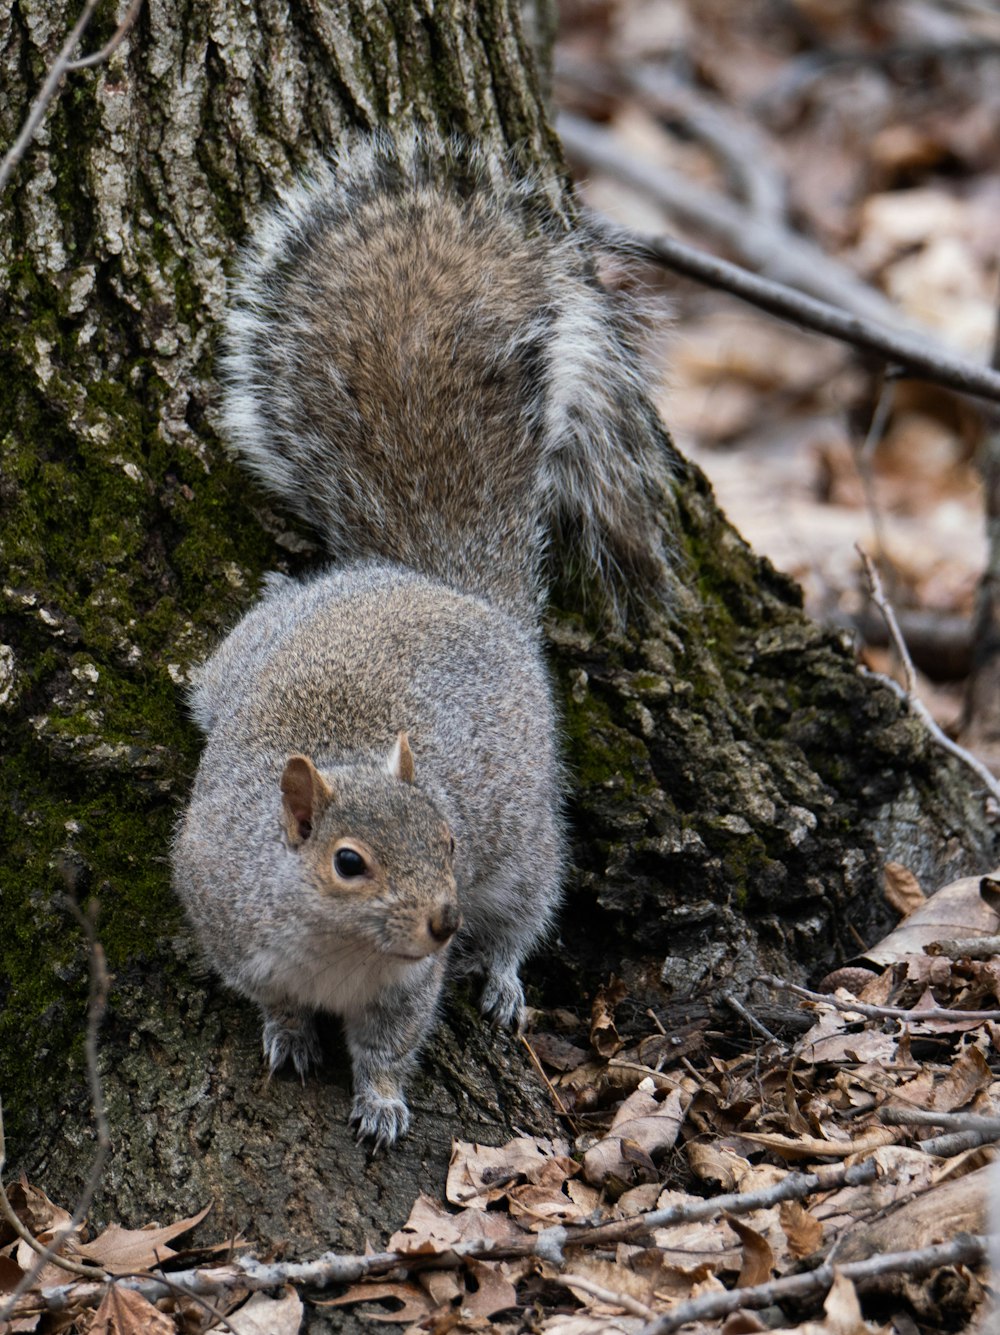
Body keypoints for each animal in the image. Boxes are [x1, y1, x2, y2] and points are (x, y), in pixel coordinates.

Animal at [172, 140, 670, 1153]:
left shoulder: (410, 983)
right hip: (245, 656)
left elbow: (392, 1042)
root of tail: (444, 586)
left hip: (523, 842)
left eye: (446, 835)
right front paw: (288, 1036)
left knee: (527, 906)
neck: (339, 949)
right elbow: (267, 998)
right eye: (348, 863)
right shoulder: (230, 922)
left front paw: (383, 1102)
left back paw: (505, 974)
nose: (443, 920)